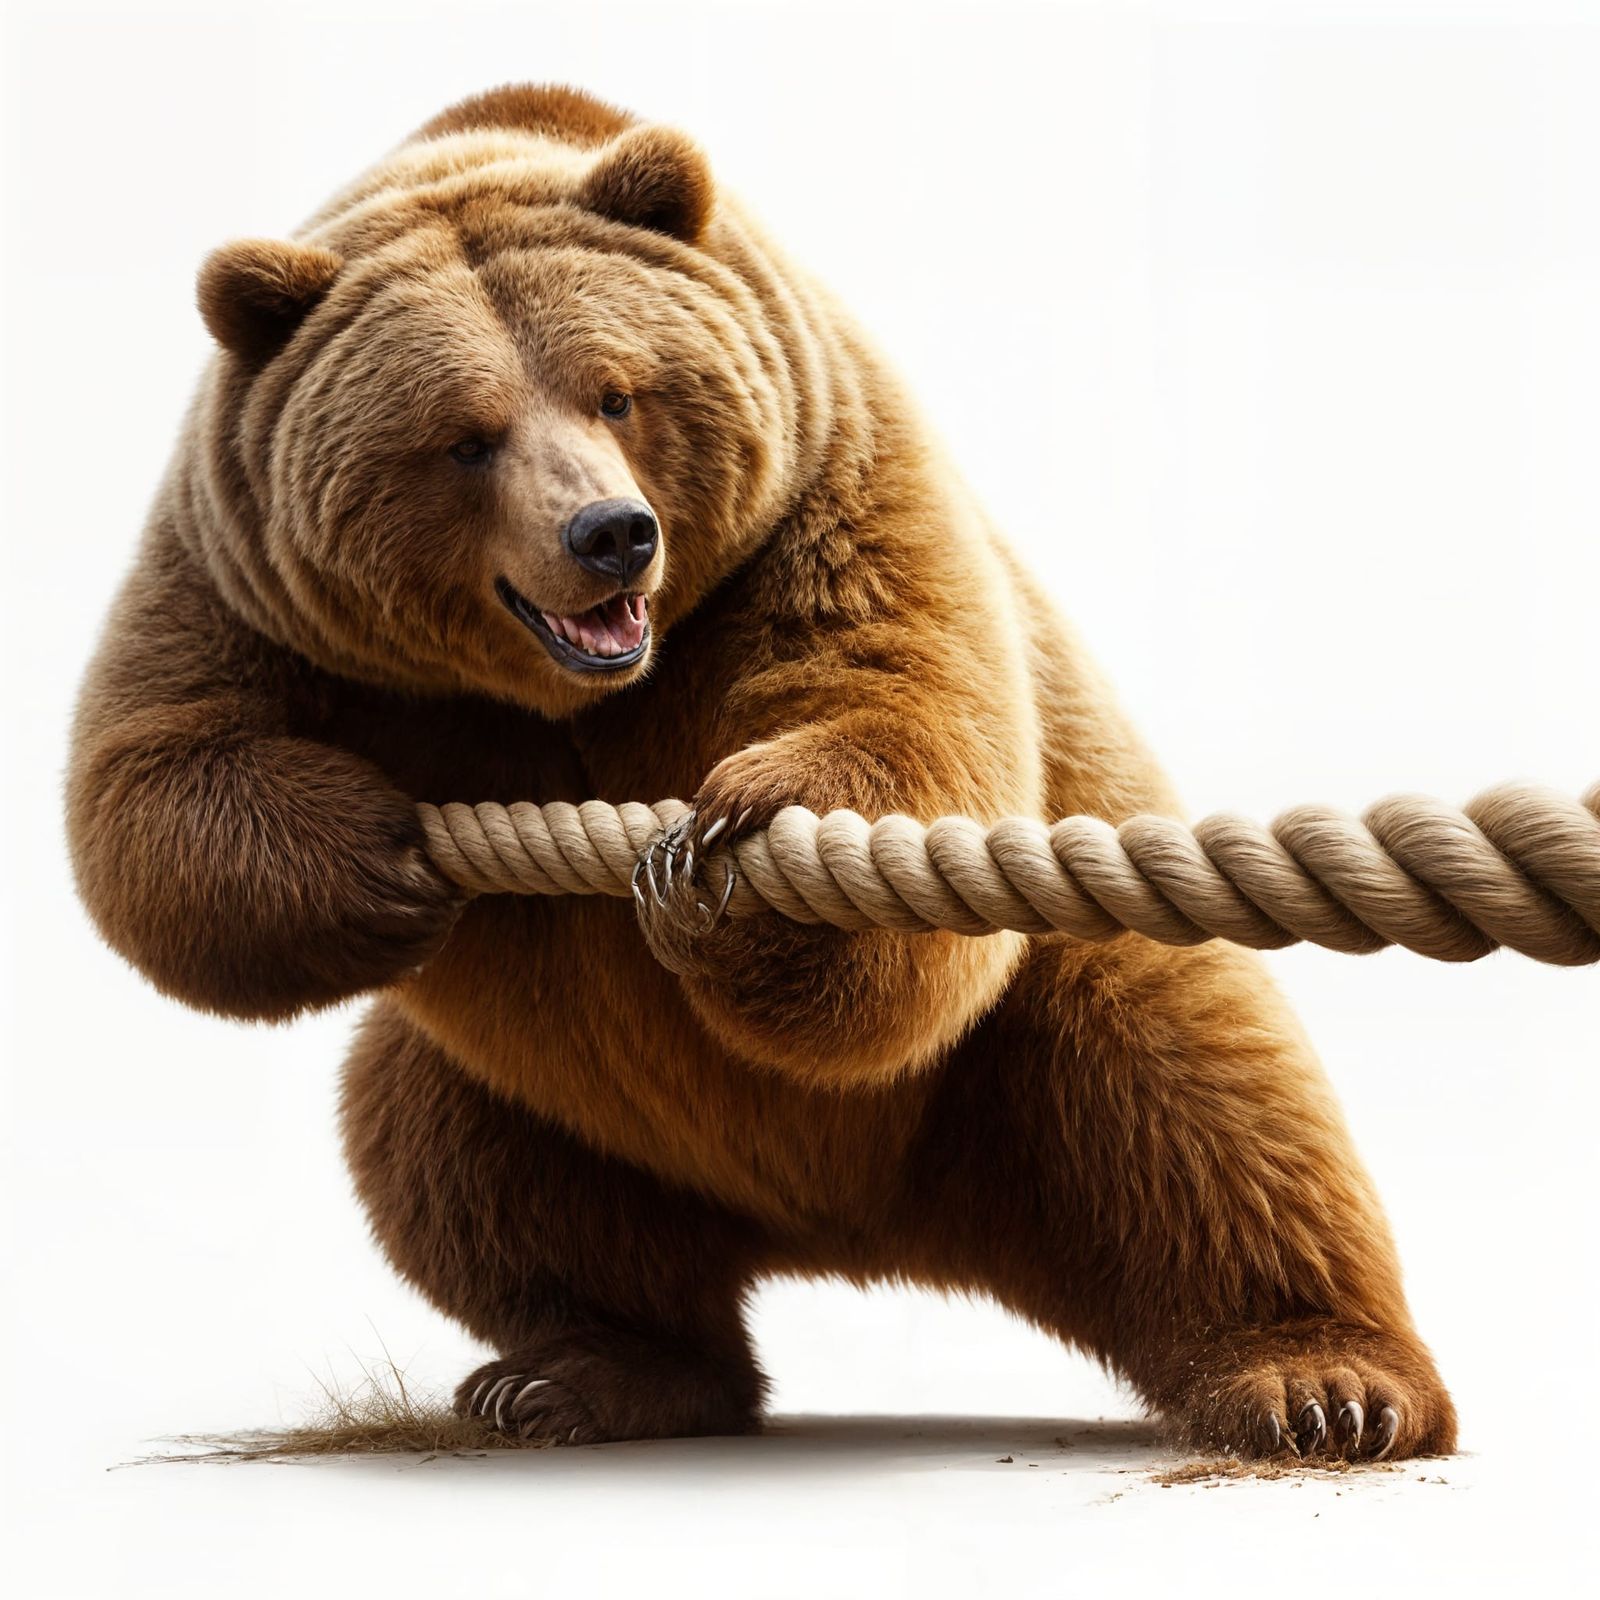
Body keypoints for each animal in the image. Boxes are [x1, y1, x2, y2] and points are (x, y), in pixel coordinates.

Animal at [66, 83, 1456, 1460]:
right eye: (464, 438)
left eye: (616, 392)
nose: (610, 534)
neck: (581, 692)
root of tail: (872, 1234)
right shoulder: (246, 579)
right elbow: (151, 777)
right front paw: (370, 845)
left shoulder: (820, 485)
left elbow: (899, 703)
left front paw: (735, 858)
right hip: (549, 1103)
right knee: (461, 1162)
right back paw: (579, 1375)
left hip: (1046, 1012)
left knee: (1200, 1104)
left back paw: (1325, 1382)